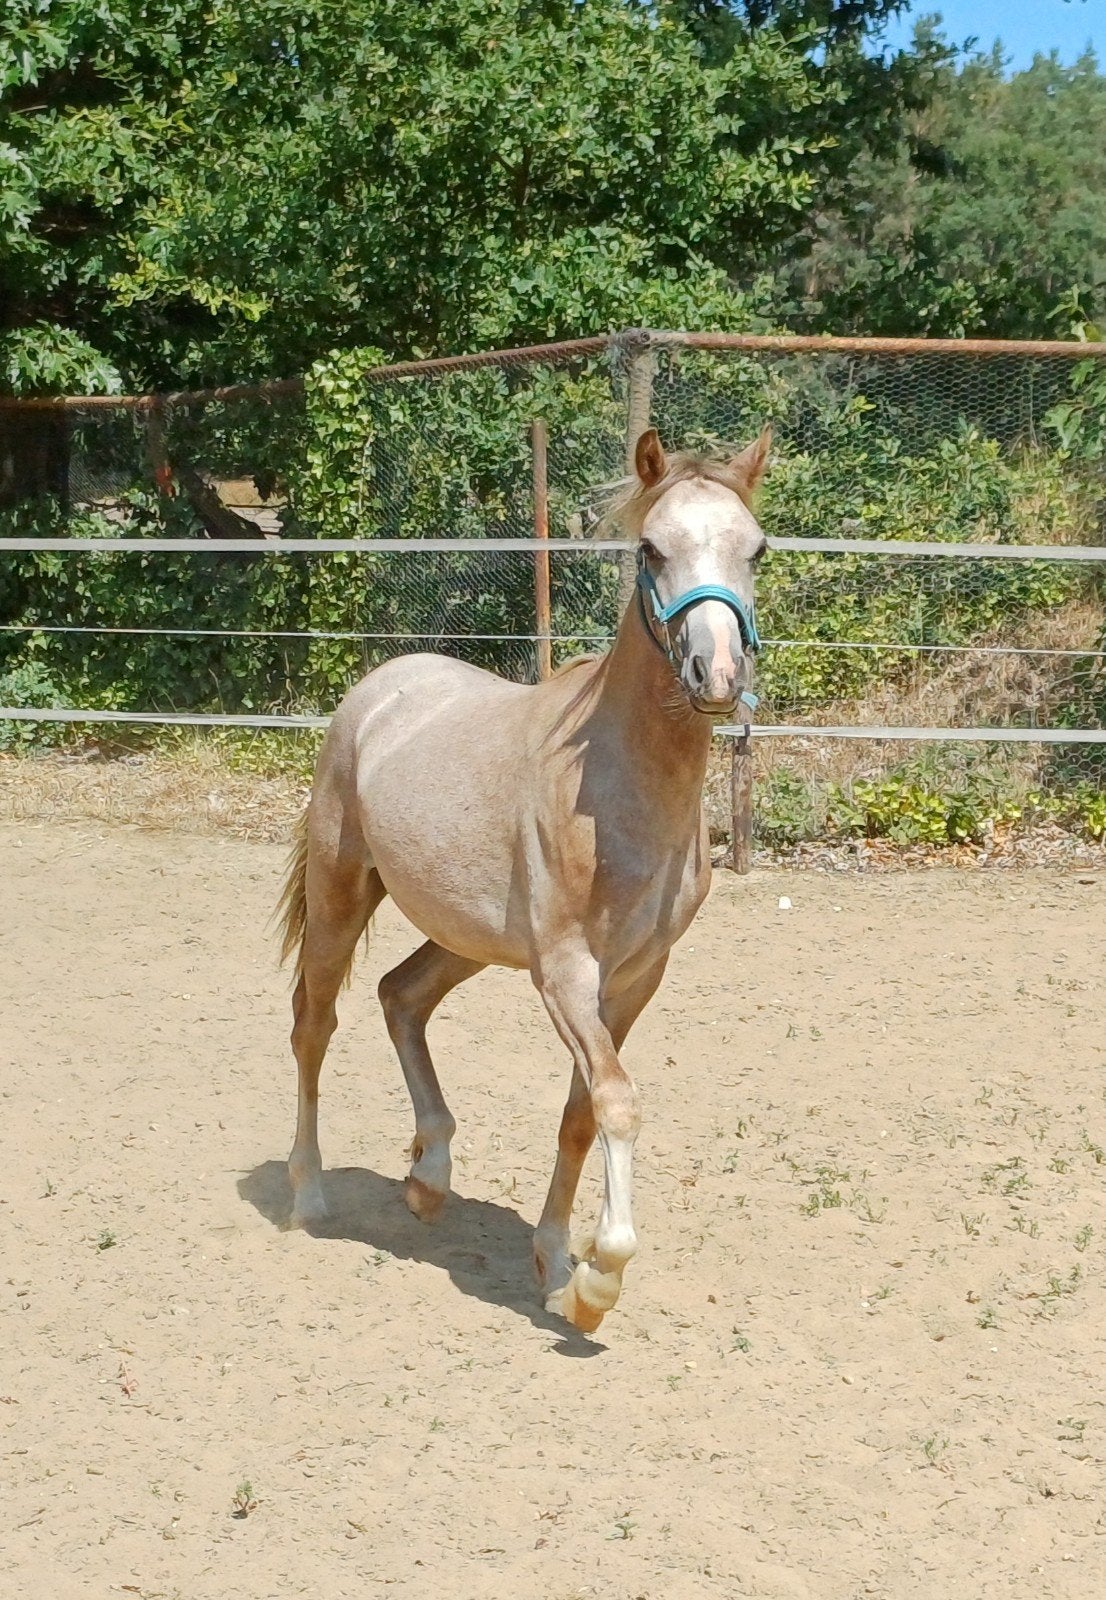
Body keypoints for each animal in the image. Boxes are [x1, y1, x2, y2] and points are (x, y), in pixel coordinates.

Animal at [276, 425, 771, 1332]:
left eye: (755, 548)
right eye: (652, 547)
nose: (715, 676)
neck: (615, 790)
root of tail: (379, 689)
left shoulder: (635, 977)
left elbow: (582, 1112)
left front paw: (555, 1267)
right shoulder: (567, 972)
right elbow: (616, 1101)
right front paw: (600, 1278)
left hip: (466, 936)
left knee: (401, 997)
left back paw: (427, 1177)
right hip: (341, 891)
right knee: (313, 1025)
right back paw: (310, 1197)